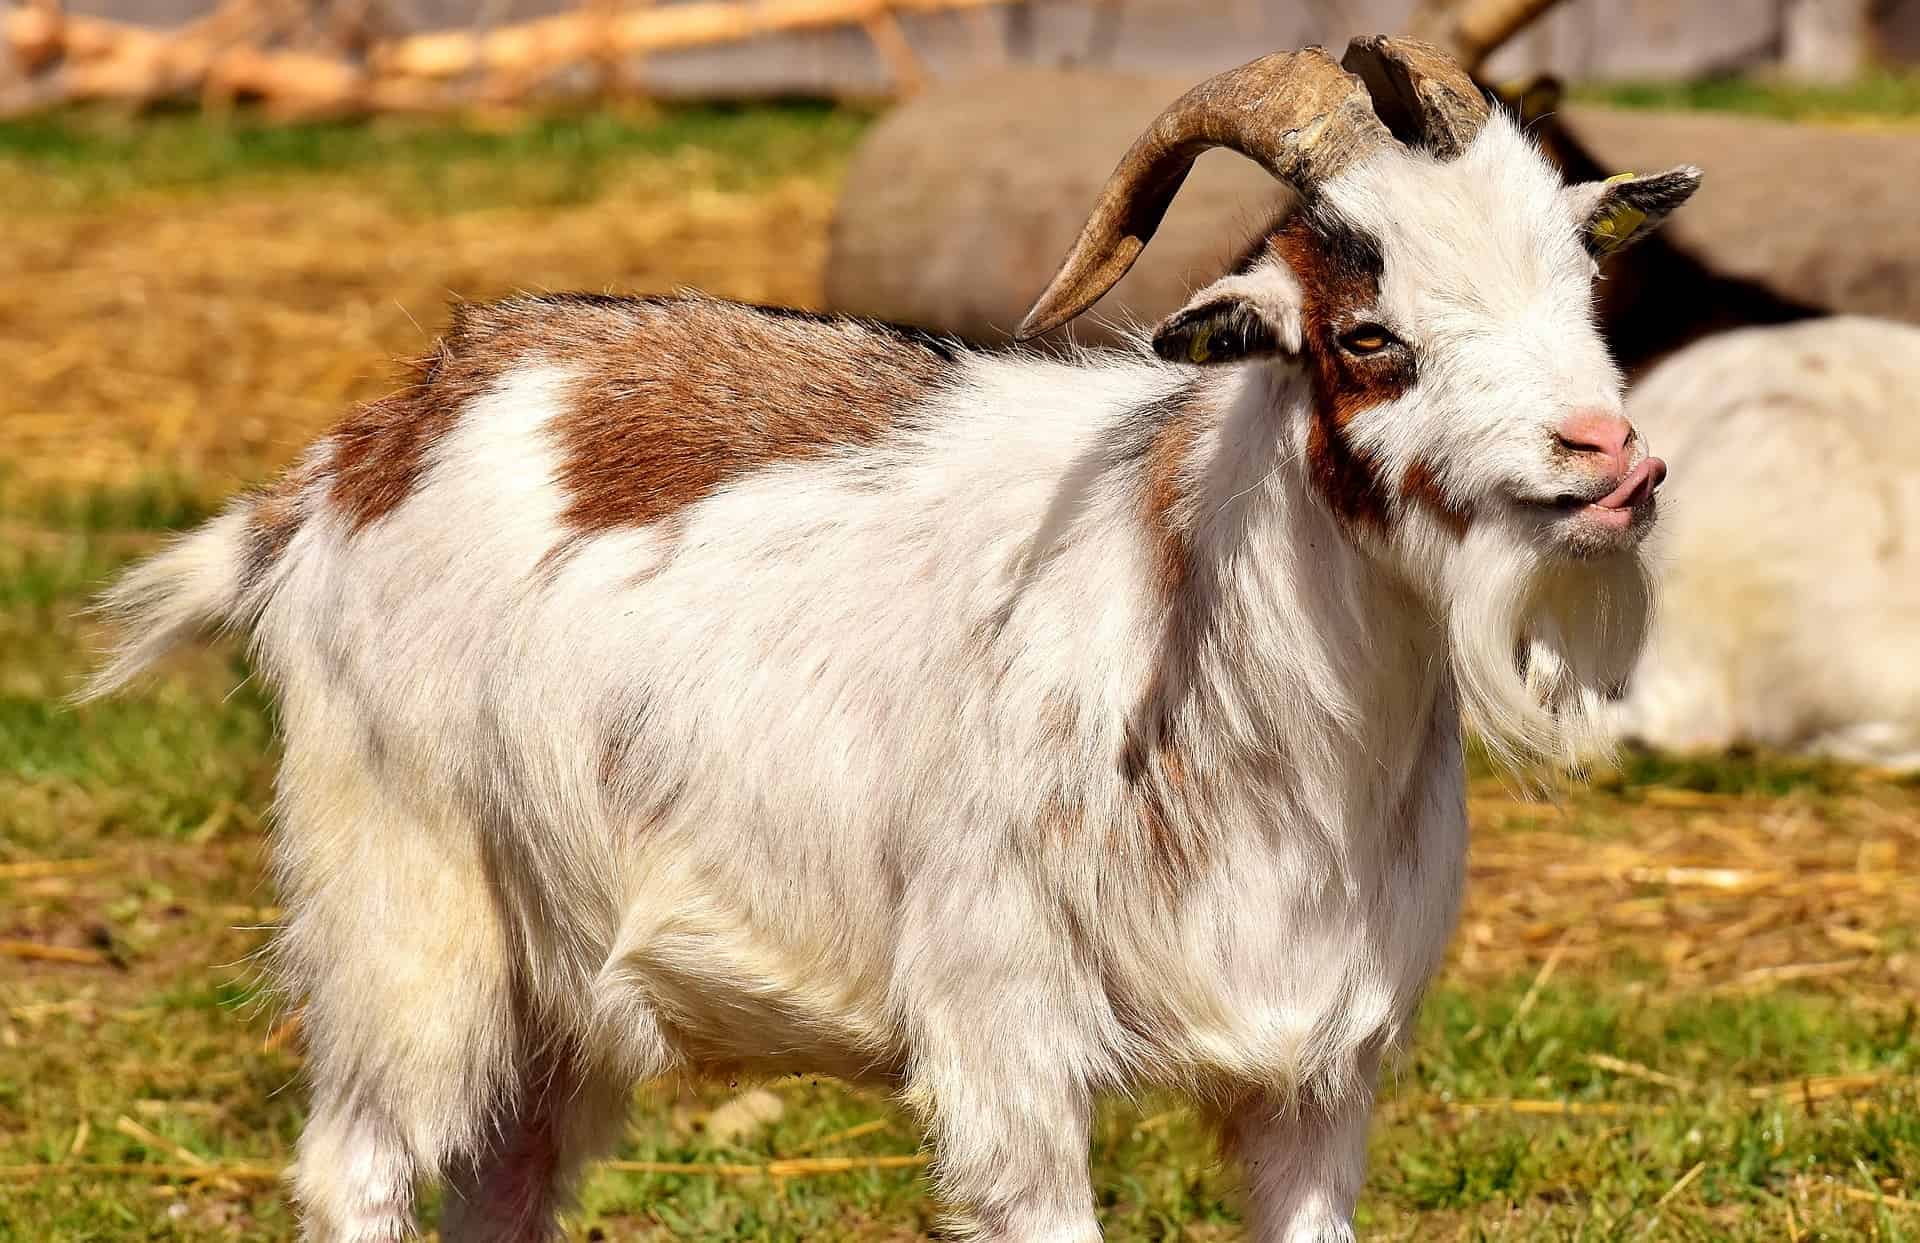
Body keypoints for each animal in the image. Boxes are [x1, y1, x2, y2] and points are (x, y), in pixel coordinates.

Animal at [86, 36, 1697, 1243]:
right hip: (404, 901)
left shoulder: (1318, 1080)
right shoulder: (1006, 1042)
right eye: (1369, 333)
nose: (1608, 456)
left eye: (1584, 278)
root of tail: (365, 446)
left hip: (559, 986)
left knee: (505, 1181)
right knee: (358, 1162)